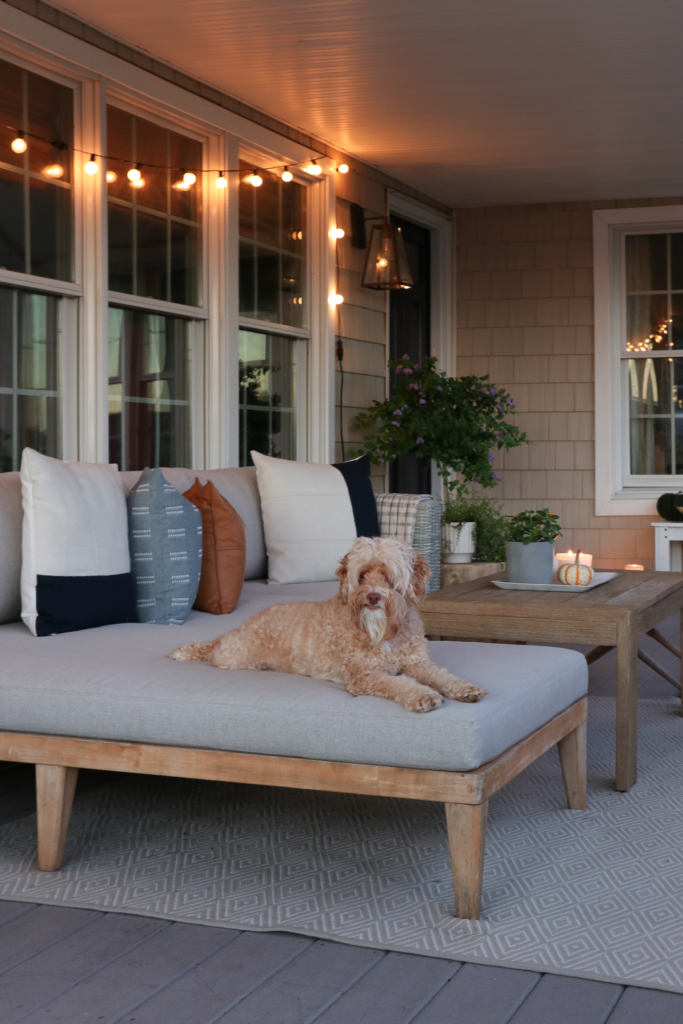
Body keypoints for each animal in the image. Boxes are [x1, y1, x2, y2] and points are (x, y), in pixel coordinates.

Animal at [174, 536, 489, 712]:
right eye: (362, 575)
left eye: (388, 576)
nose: (372, 597)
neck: (385, 633)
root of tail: (234, 629)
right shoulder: (364, 675)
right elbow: (399, 684)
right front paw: (424, 695)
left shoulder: (418, 663)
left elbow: (443, 676)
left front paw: (466, 688)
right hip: (234, 657)